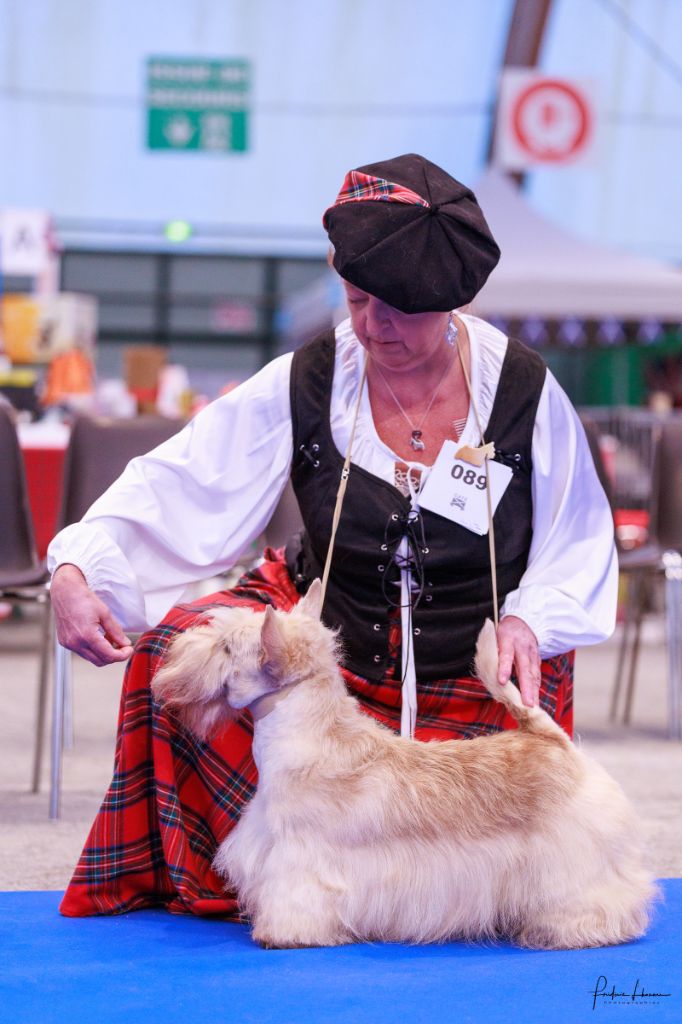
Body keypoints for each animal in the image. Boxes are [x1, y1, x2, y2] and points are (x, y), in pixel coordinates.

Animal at [152, 585, 655, 950]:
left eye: (224, 648)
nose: (175, 649)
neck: (311, 738)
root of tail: (552, 739)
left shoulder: (302, 861)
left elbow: (299, 898)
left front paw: (286, 935)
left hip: (575, 856)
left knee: (599, 894)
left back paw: (578, 929)